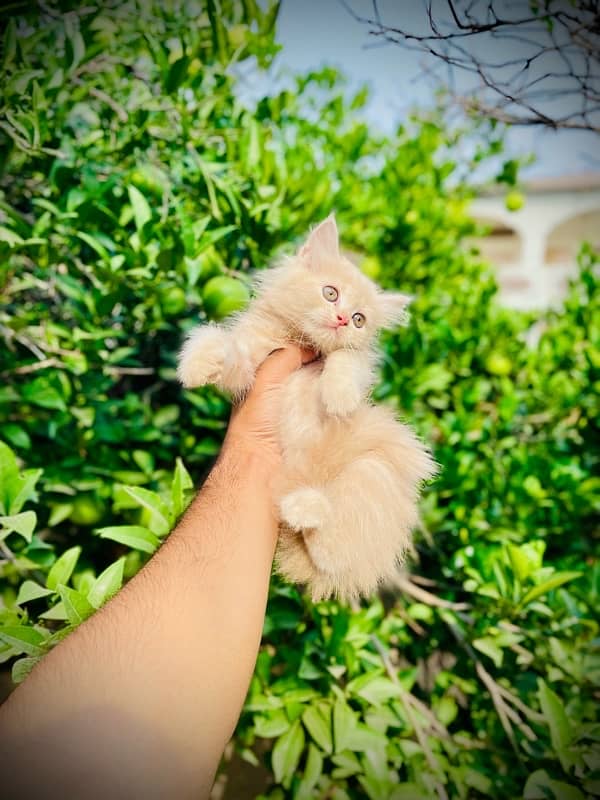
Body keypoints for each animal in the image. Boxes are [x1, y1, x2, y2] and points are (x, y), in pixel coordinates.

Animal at [177, 214, 436, 600]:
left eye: (359, 319)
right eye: (331, 293)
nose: (342, 319)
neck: (298, 340)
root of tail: (302, 482)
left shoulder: (356, 362)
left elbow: (346, 359)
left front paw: (338, 396)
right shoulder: (250, 370)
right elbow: (221, 344)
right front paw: (196, 365)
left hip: (372, 468)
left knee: (333, 551)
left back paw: (306, 508)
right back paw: (300, 509)